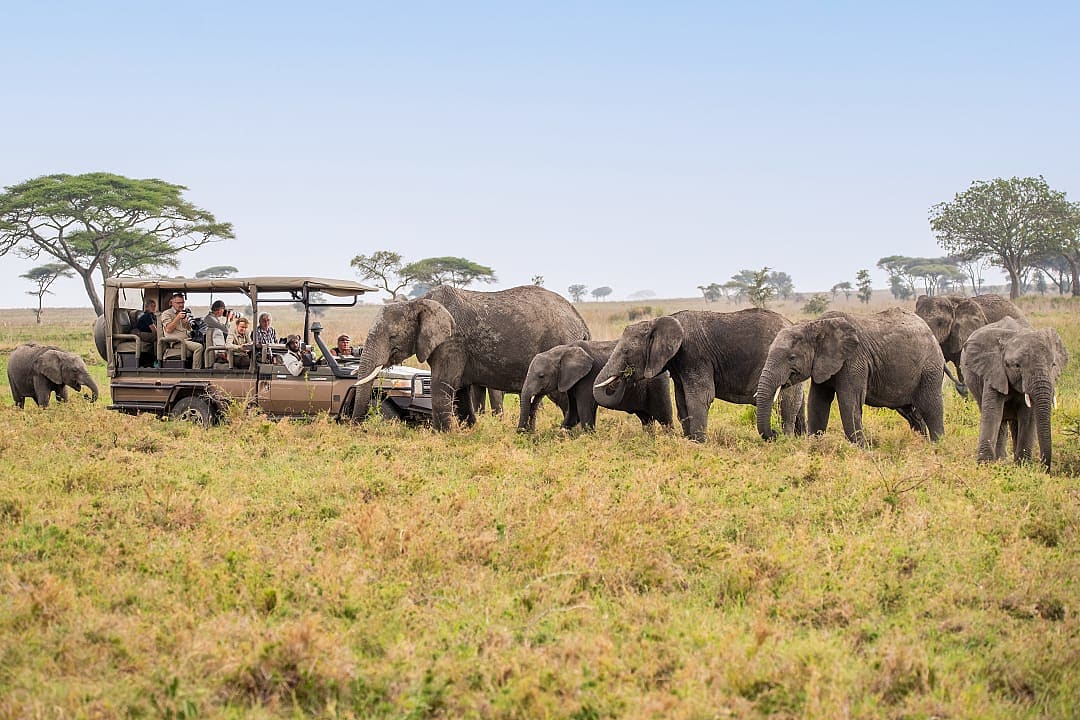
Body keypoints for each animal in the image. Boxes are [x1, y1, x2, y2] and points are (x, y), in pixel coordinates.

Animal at [352, 285, 591, 430]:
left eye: (392, 337)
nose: (357, 426)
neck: (418, 302)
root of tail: (580, 321)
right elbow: (460, 392)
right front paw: (468, 431)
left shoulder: (452, 341)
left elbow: (442, 384)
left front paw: (443, 435)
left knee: (563, 396)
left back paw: (569, 433)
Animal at [518, 340, 674, 432]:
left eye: (541, 376)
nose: (522, 432)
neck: (563, 350)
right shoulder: (571, 382)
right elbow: (573, 414)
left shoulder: (588, 378)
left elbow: (584, 412)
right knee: (646, 419)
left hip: (658, 385)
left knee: (665, 418)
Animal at [592, 308, 805, 442]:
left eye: (627, 351)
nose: (624, 376)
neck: (660, 321)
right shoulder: (679, 363)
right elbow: (681, 400)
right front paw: (689, 440)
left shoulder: (695, 355)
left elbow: (700, 397)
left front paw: (699, 443)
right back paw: (802, 439)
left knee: (785, 404)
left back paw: (784, 440)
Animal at [754, 308, 945, 445]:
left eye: (791, 358)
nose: (775, 434)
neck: (815, 325)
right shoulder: (823, 364)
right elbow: (817, 402)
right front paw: (815, 446)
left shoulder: (853, 360)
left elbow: (849, 402)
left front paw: (862, 449)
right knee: (912, 413)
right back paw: (922, 444)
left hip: (930, 368)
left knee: (930, 407)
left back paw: (937, 447)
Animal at [960, 317, 1068, 471]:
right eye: (1017, 366)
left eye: (1053, 365)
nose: (1045, 469)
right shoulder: (993, 371)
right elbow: (993, 413)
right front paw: (985, 465)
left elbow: (1028, 417)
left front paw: (1023, 467)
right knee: (1000, 419)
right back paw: (1000, 460)